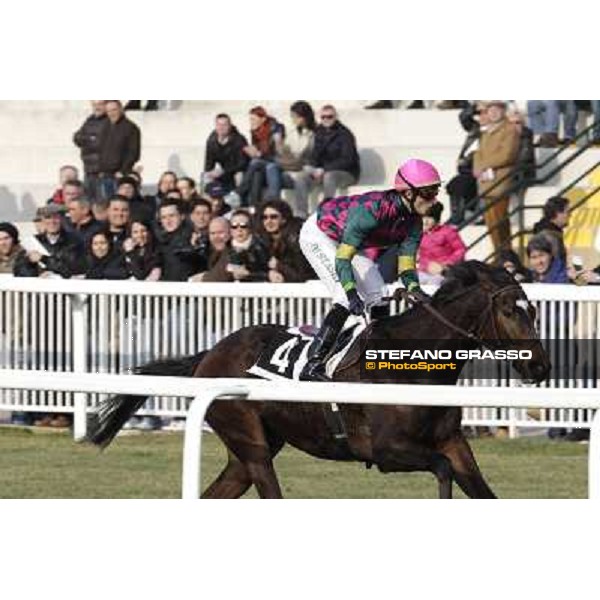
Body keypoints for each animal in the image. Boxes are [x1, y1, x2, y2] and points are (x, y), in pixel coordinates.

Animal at [86, 260, 552, 500]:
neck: (411, 367)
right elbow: (441, 471)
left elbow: (479, 488)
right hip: (252, 444)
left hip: (249, 450)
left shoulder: (453, 442)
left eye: (533, 309)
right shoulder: (386, 451)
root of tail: (209, 354)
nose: (541, 368)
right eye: (510, 311)